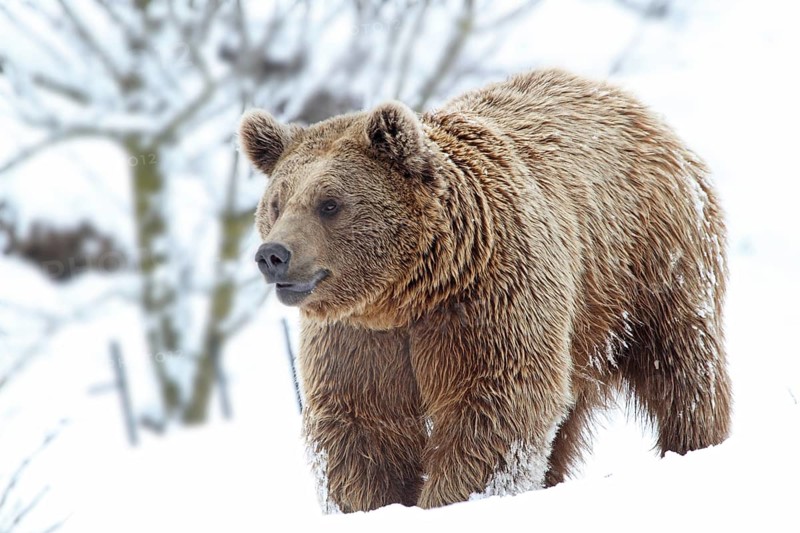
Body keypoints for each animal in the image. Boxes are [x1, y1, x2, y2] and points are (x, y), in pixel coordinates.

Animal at [238, 69, 732, 513]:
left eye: (330, 203)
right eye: (277, 202)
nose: (273, 254)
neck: (409, 293)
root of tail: (630, 103)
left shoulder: (488, 301)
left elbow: (495, 406)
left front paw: (453, 499)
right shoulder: (359, 339)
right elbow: (364, 422)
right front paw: (372, 504)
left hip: (648, 261)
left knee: (682, 366)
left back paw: (695, 443)